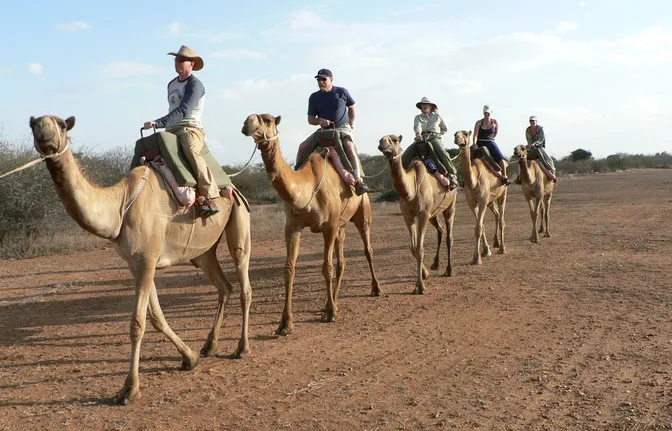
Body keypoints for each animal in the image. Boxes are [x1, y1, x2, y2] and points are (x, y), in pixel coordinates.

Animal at [29, 115, 252, 405]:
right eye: (33, 124)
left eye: (61, 124)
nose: (44, 133)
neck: (121, 205)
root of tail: (232, 185)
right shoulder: (139, 263)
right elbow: (155, 318)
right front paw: (189, 358)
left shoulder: (147, 259)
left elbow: (137, 323)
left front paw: (128, 389)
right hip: (202, 253)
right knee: (224, 285)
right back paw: (209, 345)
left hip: (239, 218)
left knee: (243, 278)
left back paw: (241, 348)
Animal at [241, 114, 381, 335]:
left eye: (268, 120)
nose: (247, 124)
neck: (307, 187)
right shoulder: (292, 227)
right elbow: (289, 270)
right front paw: (285, 323)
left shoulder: (329, 226)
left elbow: (326, 267)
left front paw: (330, 313)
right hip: (341, 224)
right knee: (342, 261)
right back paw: (333, 301)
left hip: (362, 213)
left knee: (367, 249)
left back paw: (374, 289)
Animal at [377, 135, 457, 294]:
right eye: (381, 139)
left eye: (394, 140)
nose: (382, 144)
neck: (411, 191)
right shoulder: (408, 217)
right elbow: (413, 248)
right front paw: (425, 274)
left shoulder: (423, 215)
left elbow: (420, 249)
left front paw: (420, 286)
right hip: (433, 213)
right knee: (440, 229)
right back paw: (435, 264)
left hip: (450, 205)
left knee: (449, 236)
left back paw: (449, 270)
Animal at [453, 130, 508, 265]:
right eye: (455, 133)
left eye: (466, 134)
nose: (457, 138)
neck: (473, 181)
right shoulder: (472, 203)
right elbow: (481, 226)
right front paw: (485, 251)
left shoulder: (482, 201)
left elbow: (478, 228)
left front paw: (476, 258)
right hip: (490, 200)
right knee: (497, 214)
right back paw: (495, 242)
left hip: (502, 194)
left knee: (502, 220)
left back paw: (502, 248)